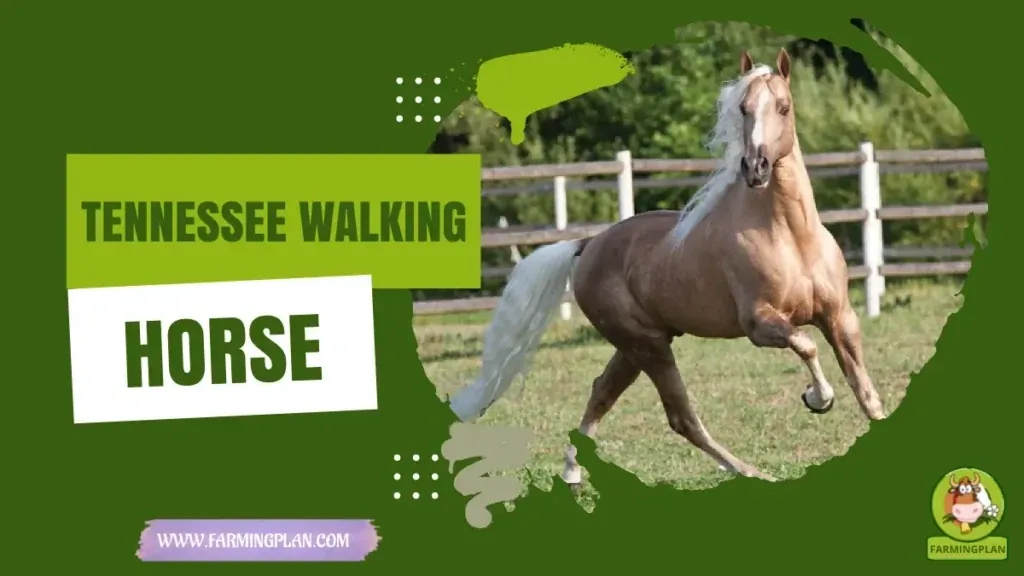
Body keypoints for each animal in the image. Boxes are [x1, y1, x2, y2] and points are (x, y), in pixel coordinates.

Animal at [448, 48, 889, 484]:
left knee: (601, 391)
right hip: (649, 346)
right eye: (743, 108)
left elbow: (865, 391)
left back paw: (573, 474)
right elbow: (807, 345)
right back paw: (751, 471)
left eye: (784, 106)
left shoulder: (839, 317)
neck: (790, 237)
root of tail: (588, 246)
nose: (755, 168)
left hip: (635, 347)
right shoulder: (759, 324)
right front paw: (817, 398)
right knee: (681, 418)